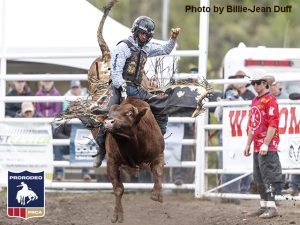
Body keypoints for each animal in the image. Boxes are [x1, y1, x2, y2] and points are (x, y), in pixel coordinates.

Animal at [55, 0, 212, 222]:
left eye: (129, 114)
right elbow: (118, 188)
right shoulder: (113, 162)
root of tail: (107, 55)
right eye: (110, 113)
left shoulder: (158, 154)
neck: (132, 141)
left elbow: (158, 172)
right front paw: (117, 216)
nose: (107, 123)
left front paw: (157, 194)